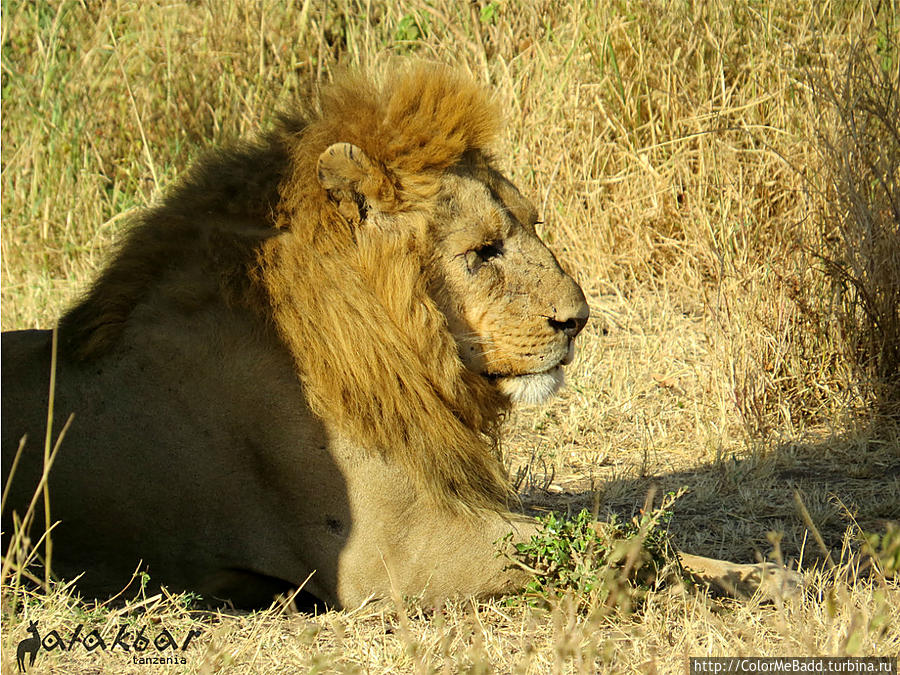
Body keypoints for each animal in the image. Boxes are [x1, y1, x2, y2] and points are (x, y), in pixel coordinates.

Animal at [1, 64, 800, 612]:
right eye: (483, 250)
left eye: (532, 224)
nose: (577, 320)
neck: (394, 346)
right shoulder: (405, 556)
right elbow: (613, 549)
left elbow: (627, 533)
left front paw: (765, 575)